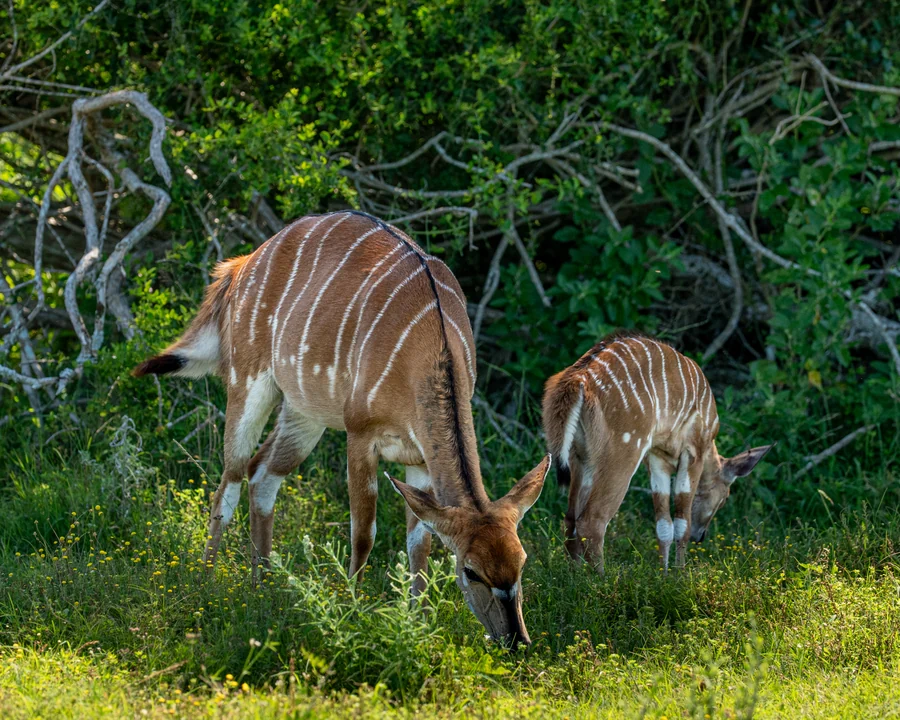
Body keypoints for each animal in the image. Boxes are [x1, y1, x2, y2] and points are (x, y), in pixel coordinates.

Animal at [133, 210, 550, 648]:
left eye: (522, 561)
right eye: (470, 570)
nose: (516, 640)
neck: (429, 349)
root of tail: (243, 263)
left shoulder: (419, 457)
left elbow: (418, 543)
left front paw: (418, 625)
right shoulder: (360, 434)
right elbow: (363, 533)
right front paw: (352, 615)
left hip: (304, 413)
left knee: (262, 472)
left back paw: (263, 586)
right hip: (247, 382)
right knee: (228, 482)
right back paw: (207, 586)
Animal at [543, 332, 771, 573]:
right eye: (725, 497)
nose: (701, 536)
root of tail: (577, 380)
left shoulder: (656, 457)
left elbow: (663, 524)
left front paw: (664, 574)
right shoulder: (693, 452)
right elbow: (682, 522)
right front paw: (680, 573)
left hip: (580, 457)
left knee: (571, 518)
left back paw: (575, 574)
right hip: (622, 452)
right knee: (591, 520)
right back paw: (601, 577)